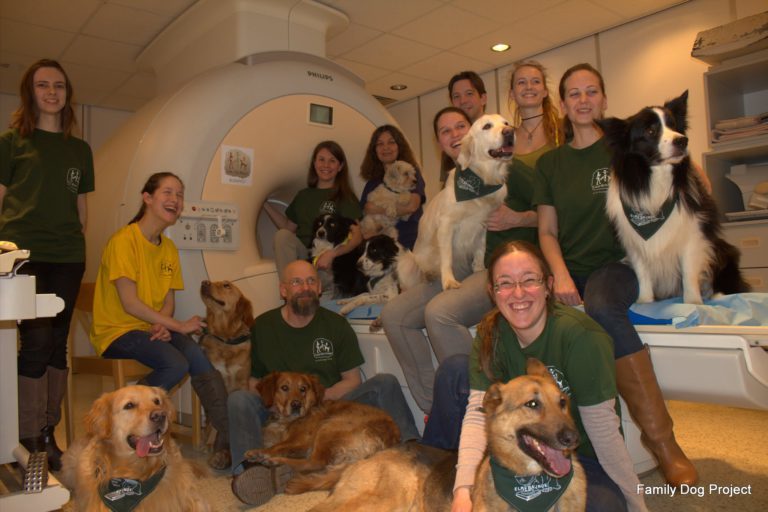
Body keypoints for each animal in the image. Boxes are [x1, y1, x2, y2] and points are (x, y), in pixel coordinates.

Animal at [246, 372, 402, 496]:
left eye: (303, 389)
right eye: (284, 388)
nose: (296, 405)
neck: (287, 420)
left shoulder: (301, 440)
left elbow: (278, 446)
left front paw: (258, 452)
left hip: (329, 426)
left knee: (315, 462)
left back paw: (276, 461)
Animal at [600, 90, 752, 304]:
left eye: (673, 125)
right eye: (650, 131)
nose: (682, 140)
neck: (657, 182)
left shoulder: (692, 234)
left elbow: (689, 272)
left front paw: (693, 302)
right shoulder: (635, 242)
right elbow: (642, 272)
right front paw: (645, 301)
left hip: (721, 249)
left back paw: (716, 294)